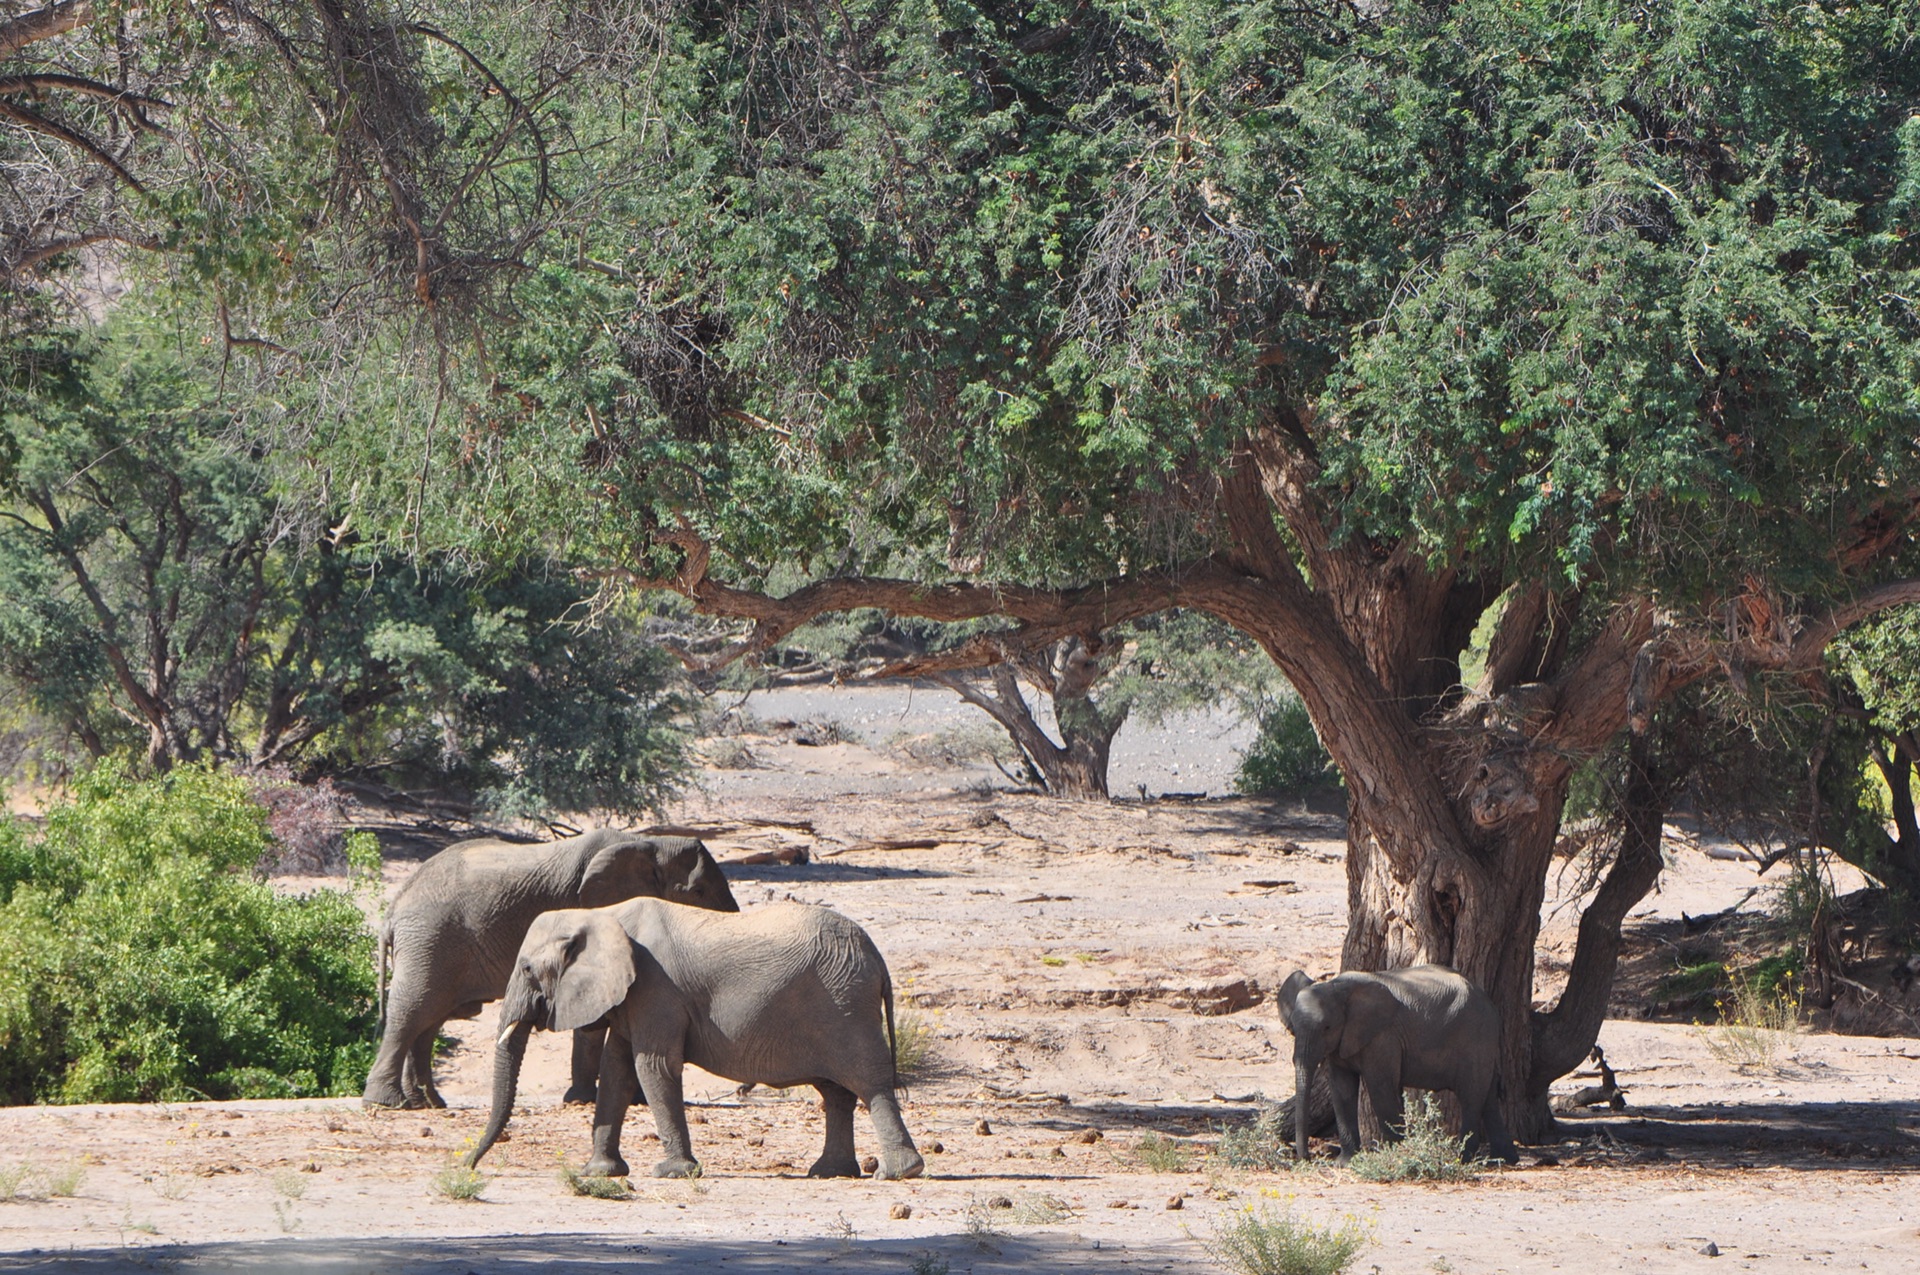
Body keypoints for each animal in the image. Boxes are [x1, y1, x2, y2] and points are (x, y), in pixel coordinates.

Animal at [362, 833, 737, 1113]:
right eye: (698, 891)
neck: (650, 843)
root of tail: (393, 908)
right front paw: (585, 1100)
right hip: (430, 939)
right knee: (413, 1010)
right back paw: (387, 1103)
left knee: (430, 1019)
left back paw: (427, 1103)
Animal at [456, 894, 921, 1182]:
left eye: (527, 970)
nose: (468, 1166)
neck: (600, 913)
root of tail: (878, 958)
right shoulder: (633, 994)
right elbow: (618, 1070)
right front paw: (600, 1173)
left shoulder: (655, 988)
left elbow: (652, 1066)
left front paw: (672, 1173)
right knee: (835, 1091)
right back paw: (830, 1172)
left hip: (845, 1006)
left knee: (868, 1082)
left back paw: (898, 1172)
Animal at [1274, 967, 1512, 1167]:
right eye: (1292, 1027)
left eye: (1327, 1027)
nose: (1306, 1159)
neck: (1336, 987)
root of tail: (1491, 1006)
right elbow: (1342, 1090)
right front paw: (1346, 1162)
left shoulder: (1383, 1037)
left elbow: (1381, 1088)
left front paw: (1395, 1157)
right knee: (1488, 1098)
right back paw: (1503, 1160)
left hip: (1475, 1039)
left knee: (1471, 1097)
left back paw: (1461, 1159)